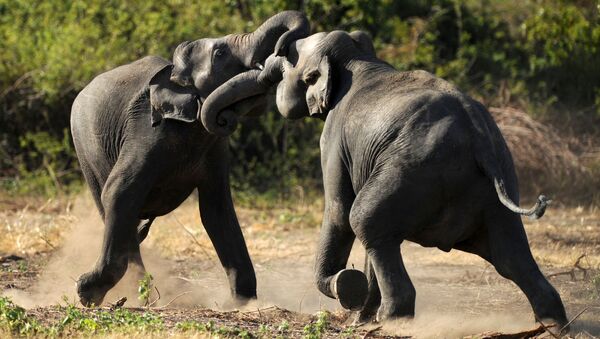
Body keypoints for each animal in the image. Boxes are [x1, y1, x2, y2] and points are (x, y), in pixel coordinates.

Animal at [70, 10, 310, 308]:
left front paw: (243, 304)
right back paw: (143, 294)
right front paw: (86, 292)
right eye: (220, 53)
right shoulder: (147, 132)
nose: (280, 51)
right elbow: (119, 192)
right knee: (112, 208)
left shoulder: (214, 146)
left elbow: (217, 211)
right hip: (84, 150)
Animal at [197, 30, 568, 328]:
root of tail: (478, 137)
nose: (225, 119)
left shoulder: (333, 139)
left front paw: (347, 289)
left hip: (416, 168)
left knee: (364, 219)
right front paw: (360, 317)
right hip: (491, 183)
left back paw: (393, 321)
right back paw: (551, 325)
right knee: (509, 255)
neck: (357, 58)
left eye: (285, 63)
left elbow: (339, 210)